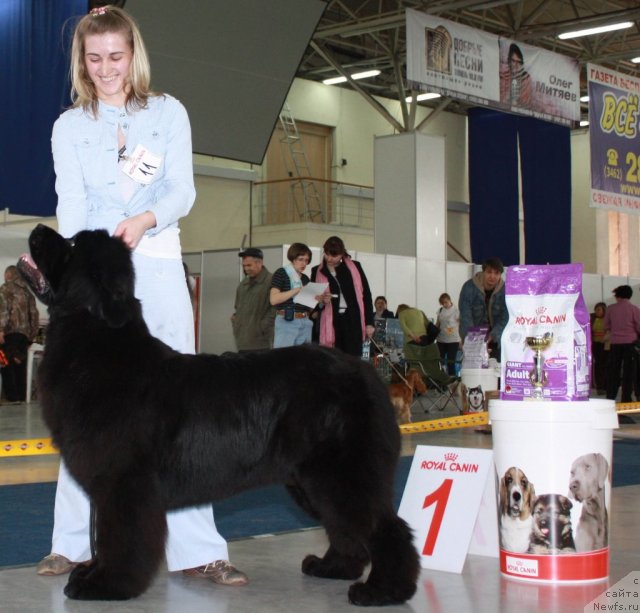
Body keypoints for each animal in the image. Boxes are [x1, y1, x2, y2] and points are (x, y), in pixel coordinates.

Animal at [18, 224, 420, 604]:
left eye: (71, 244)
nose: (37, 229)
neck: (97, 340)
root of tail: (366, 372)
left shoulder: (124, 483)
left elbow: (119, 539)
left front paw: (106, 584)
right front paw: (90, 573)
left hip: (340, 474)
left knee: (386, 527)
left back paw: (383, 590)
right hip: (311, 480)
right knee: (345, 528)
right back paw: (333, 567)